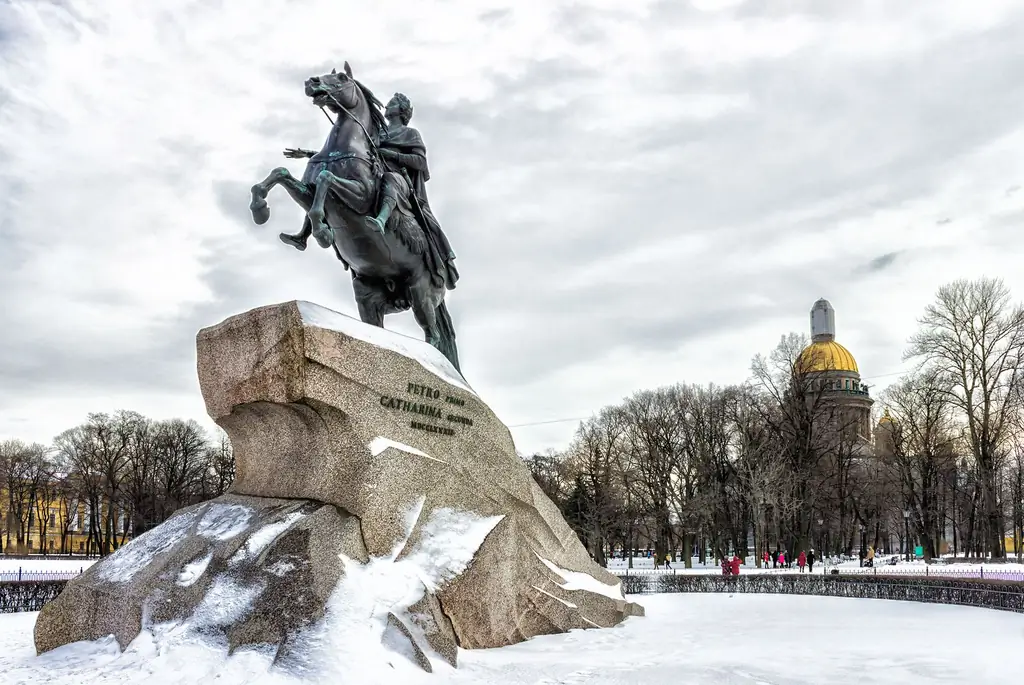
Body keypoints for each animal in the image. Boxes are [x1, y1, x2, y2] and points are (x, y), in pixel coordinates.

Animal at [247, 63, 460, 370]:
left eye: (342, 77)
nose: (311, 82)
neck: (344, 148)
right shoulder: (306, 193)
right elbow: (281, 173)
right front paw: (260, 209)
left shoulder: (359, 197)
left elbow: (325, 179)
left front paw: (323, 232)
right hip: (368, 295)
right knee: (379, 327)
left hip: (421, 294)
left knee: (433, 337)